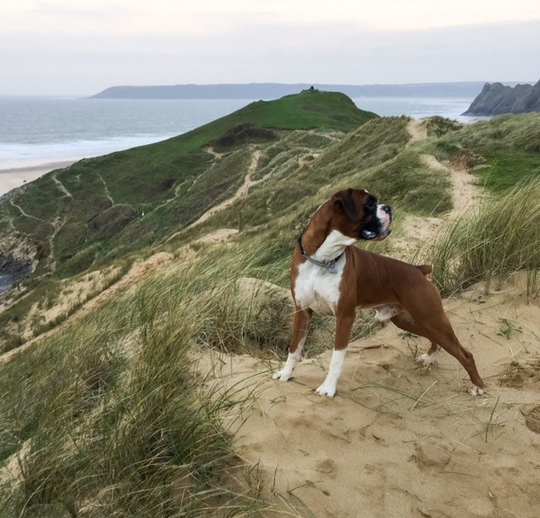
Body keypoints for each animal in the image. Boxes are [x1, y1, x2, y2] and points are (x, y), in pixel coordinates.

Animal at [272, 188, 484, 397]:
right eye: (369, 204)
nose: (388, 207)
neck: (322, 259)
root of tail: (417, 269)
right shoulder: (302, 311)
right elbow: (294, 349)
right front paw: (286, 374)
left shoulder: (345, 316)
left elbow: (336, 359)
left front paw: (328, 388)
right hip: (409, 320)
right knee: (435, 339)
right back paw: (429, 358)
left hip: (432, 319)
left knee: (465, 355)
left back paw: (478, 386)